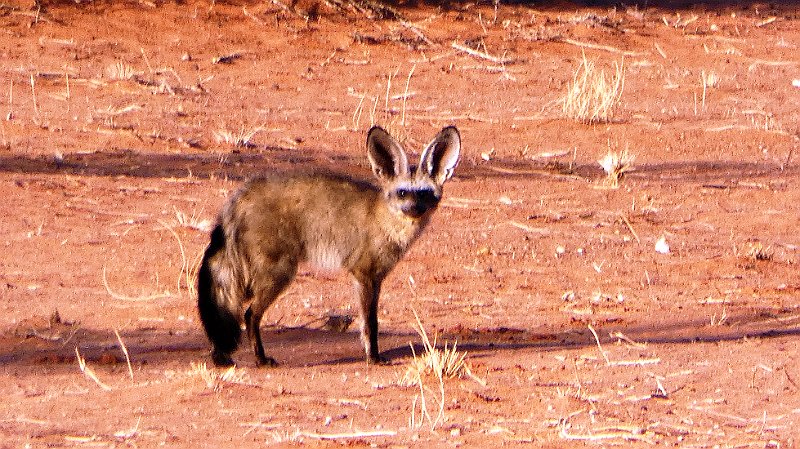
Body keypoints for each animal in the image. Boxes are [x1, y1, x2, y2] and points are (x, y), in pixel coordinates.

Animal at [197, 125, 461, 367]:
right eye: (403, 193)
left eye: (424, 193)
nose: (414, 209)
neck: (385, 220)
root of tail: (241, 194)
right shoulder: (364, 274)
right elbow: (371, 323)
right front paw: (373, 357)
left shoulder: (375, 278)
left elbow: (368, 322)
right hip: (278, 274)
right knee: (250, 315)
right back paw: (260, 359)